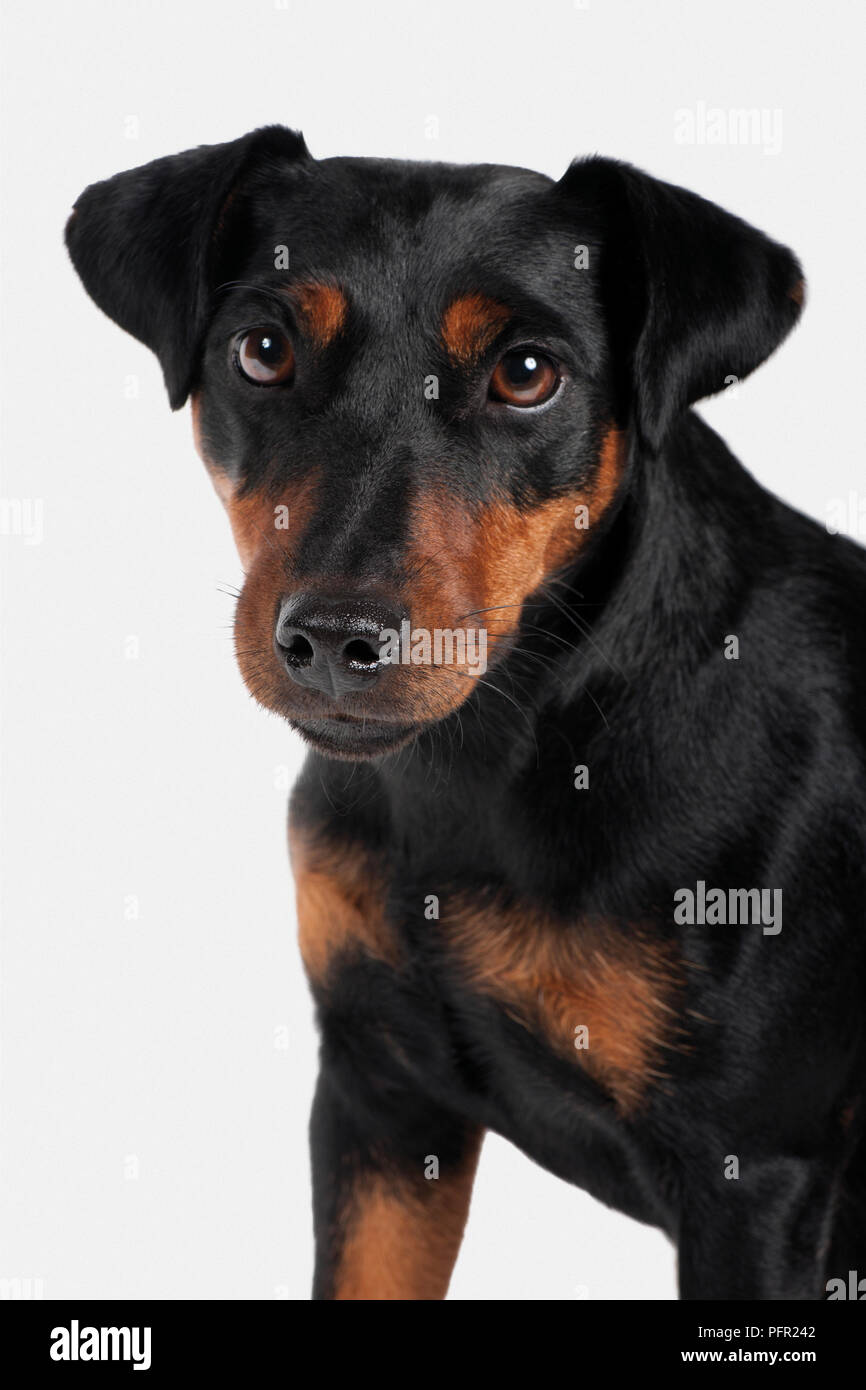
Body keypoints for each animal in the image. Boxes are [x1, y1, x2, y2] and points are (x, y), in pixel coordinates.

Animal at [66, 125, 866, 1295]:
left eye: (526, 373)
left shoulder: (755, 1175)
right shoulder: (384, 1091)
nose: (334, 640)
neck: (497, 752)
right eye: (262, 349)